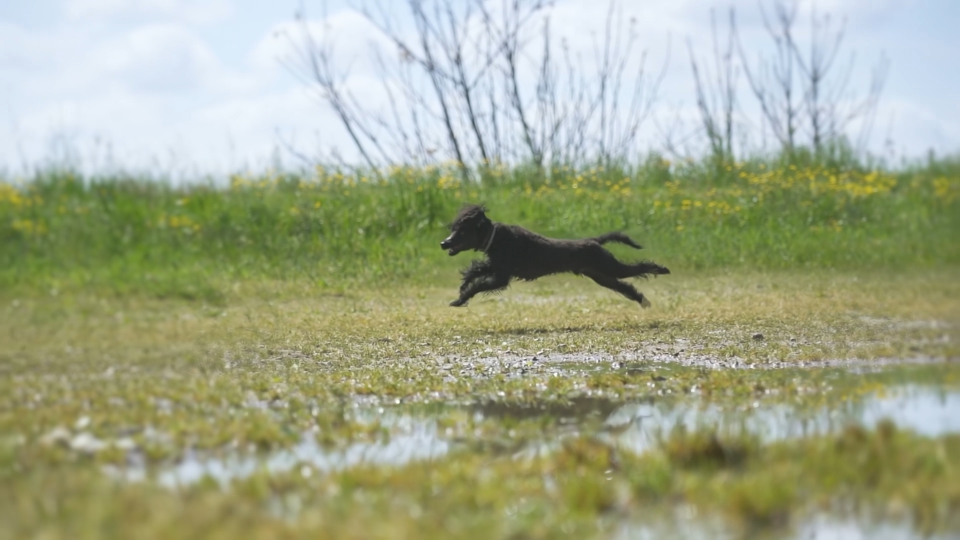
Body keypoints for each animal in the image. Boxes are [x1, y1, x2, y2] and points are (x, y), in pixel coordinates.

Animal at [440, 206, 668, 308]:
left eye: (462, 230)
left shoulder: (500, 277)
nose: (444, 243)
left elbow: (477, 285)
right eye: (454, 229)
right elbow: (474, 271)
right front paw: (462, 288)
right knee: (625, 286)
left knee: (638, 268)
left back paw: (662, 269)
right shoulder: (496, 267)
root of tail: (594, 240)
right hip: (601, 275)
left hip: (607, 267)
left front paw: (460, 299)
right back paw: (642, 300)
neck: (495, 237)